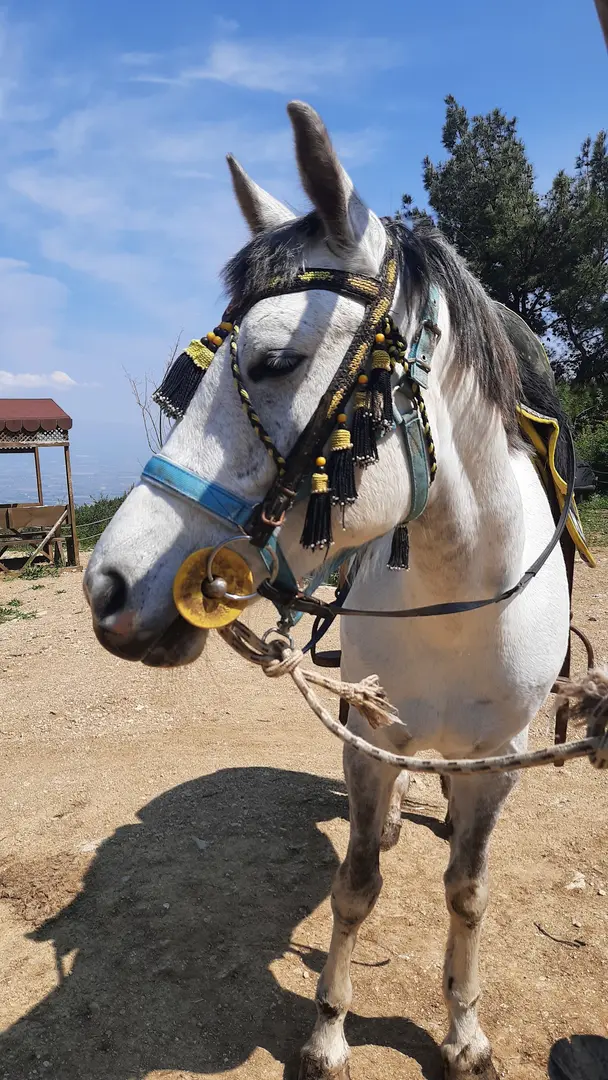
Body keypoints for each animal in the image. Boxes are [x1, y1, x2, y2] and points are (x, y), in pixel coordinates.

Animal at [84, 101, 571, 1079]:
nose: (108, 585)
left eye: (275, 362)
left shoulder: (501, 759)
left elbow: (468, 893)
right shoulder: (372, 739)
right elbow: (355, 889)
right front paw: (328, 1030)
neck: (463, 596)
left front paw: (463, 1028)